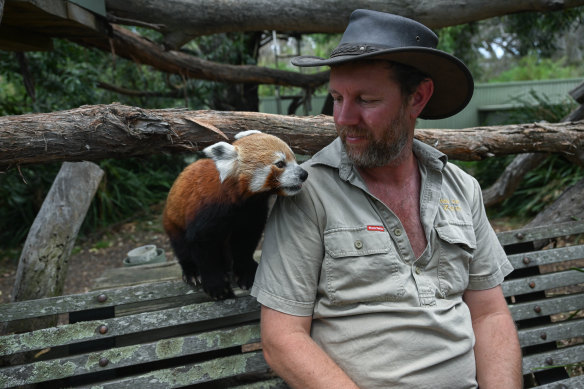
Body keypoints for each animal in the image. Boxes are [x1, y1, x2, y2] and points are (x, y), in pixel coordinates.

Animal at [162, 131, 308, 300]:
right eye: (280, 164)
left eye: (295, 159)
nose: (304, 174)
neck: (242, 202)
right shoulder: (207, 210)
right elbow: (203, 248)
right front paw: (216, 285)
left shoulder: (252, 212)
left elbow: (244, 242)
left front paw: (246, 273)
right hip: (173, 222)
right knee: (182, 247)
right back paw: (192, 272)